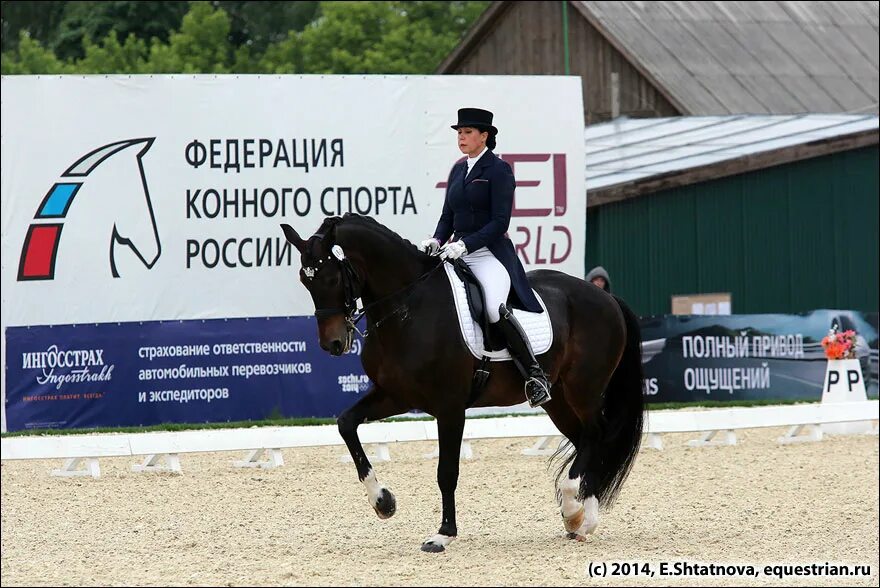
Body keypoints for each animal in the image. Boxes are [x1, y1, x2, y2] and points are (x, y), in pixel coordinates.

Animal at [282, 215, 648, 552]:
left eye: (332, 277)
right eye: (304, 280)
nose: (332, 344)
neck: (407, 307)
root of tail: (606, 297)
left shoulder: (450, 406)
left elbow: (447, 471)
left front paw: (443, 533)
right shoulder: (395, 396)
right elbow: (346, 424)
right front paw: (383, 502)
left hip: (583, 388)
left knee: (596, 434)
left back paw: (575, 510)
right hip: (557, 398)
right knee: (586, 440)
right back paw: (581, 519)